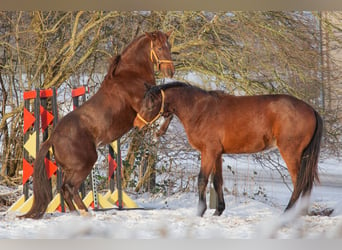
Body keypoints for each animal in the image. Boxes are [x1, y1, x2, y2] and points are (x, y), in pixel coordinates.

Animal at [22, 30, 174, 219]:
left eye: (169, 47)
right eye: (159, 48)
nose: (170, 71)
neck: (132, 75)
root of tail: (53, 137)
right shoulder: (146, 107)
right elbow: (167, 108)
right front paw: (159, 132)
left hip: (71, 168)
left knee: (64, 188)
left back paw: (77, 213)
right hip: (85, 163)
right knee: (70, 187)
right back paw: (85, 212)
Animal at [134, 82, 324, 217]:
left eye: (150, 106)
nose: (136, 126)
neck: (200, 110)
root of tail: (311, 109)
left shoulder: (208, 152)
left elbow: (202, 179)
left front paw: (200, 211)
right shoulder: (217, 154)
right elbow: (217, 181)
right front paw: (218, 210)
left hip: (291, 153)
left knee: (299, 182)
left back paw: (288, 213)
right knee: (306, 183)